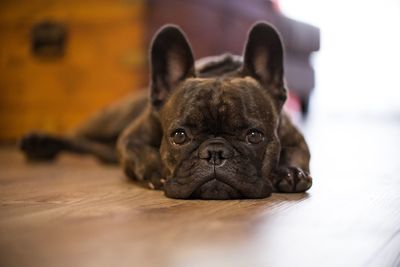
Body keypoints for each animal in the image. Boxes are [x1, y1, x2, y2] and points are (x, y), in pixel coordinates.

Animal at [18, 22, 312, 199]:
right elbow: (142, 153)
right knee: (77, 136)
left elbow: (298, 154)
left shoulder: (295, 138)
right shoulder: (130, 138)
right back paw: (39, 142)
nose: (215, 153)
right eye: (179, 136)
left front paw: (290, 172)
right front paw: (156, 171)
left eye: (254, 136)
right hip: (110, 120)